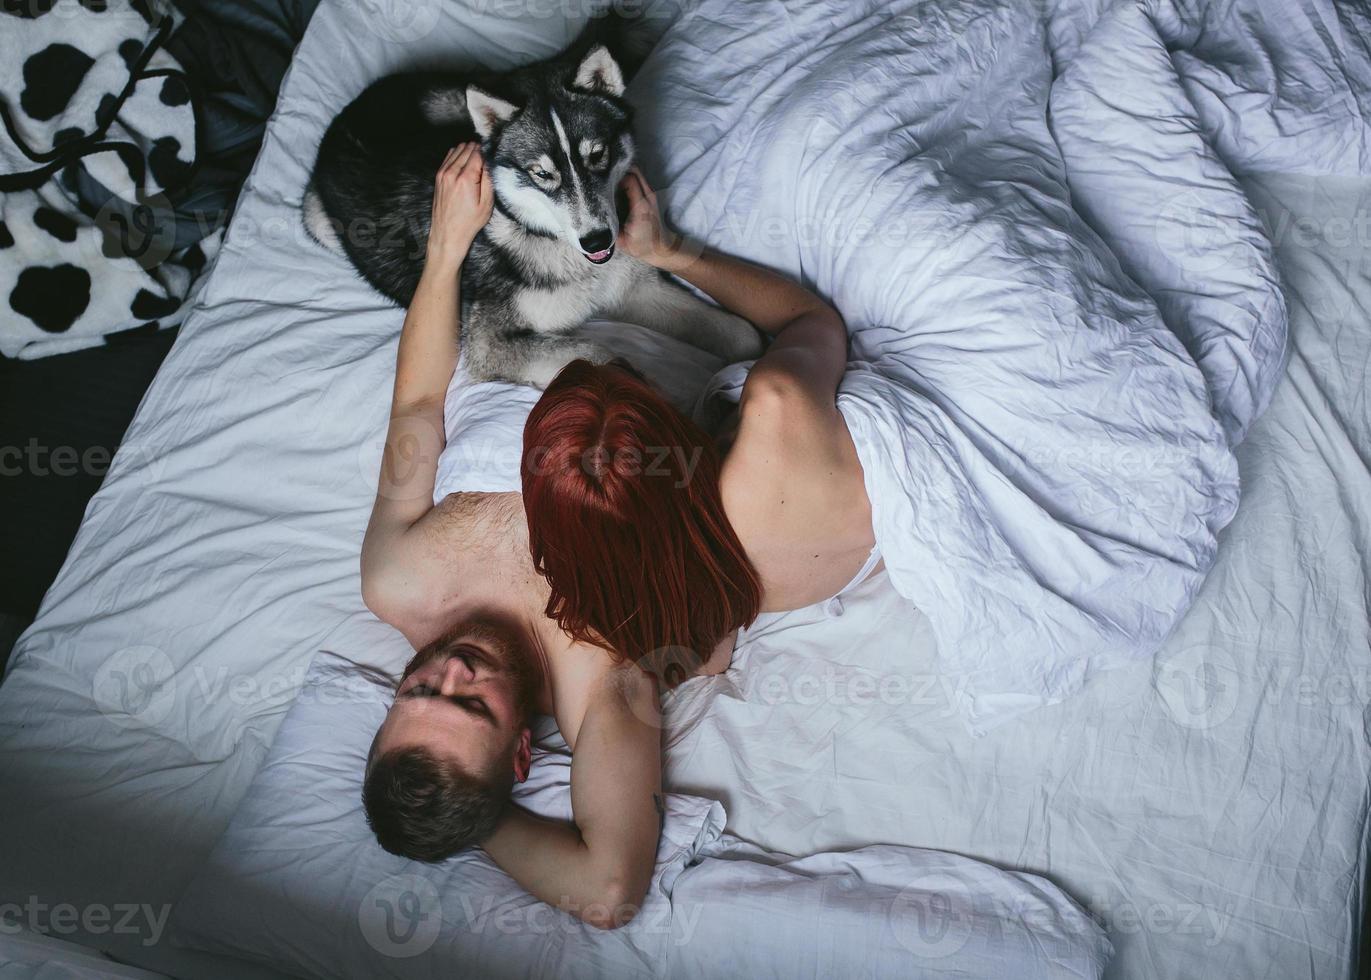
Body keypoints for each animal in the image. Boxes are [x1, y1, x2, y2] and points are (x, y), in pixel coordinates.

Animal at [301, 28, 767, 386]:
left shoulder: (634, 287)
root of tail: (351, 112)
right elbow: (597, 352)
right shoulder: (490, 344)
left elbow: (740, 334)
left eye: (598, 155)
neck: (547, 239)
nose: (597, 239)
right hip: (318, 219)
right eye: (542, 174)